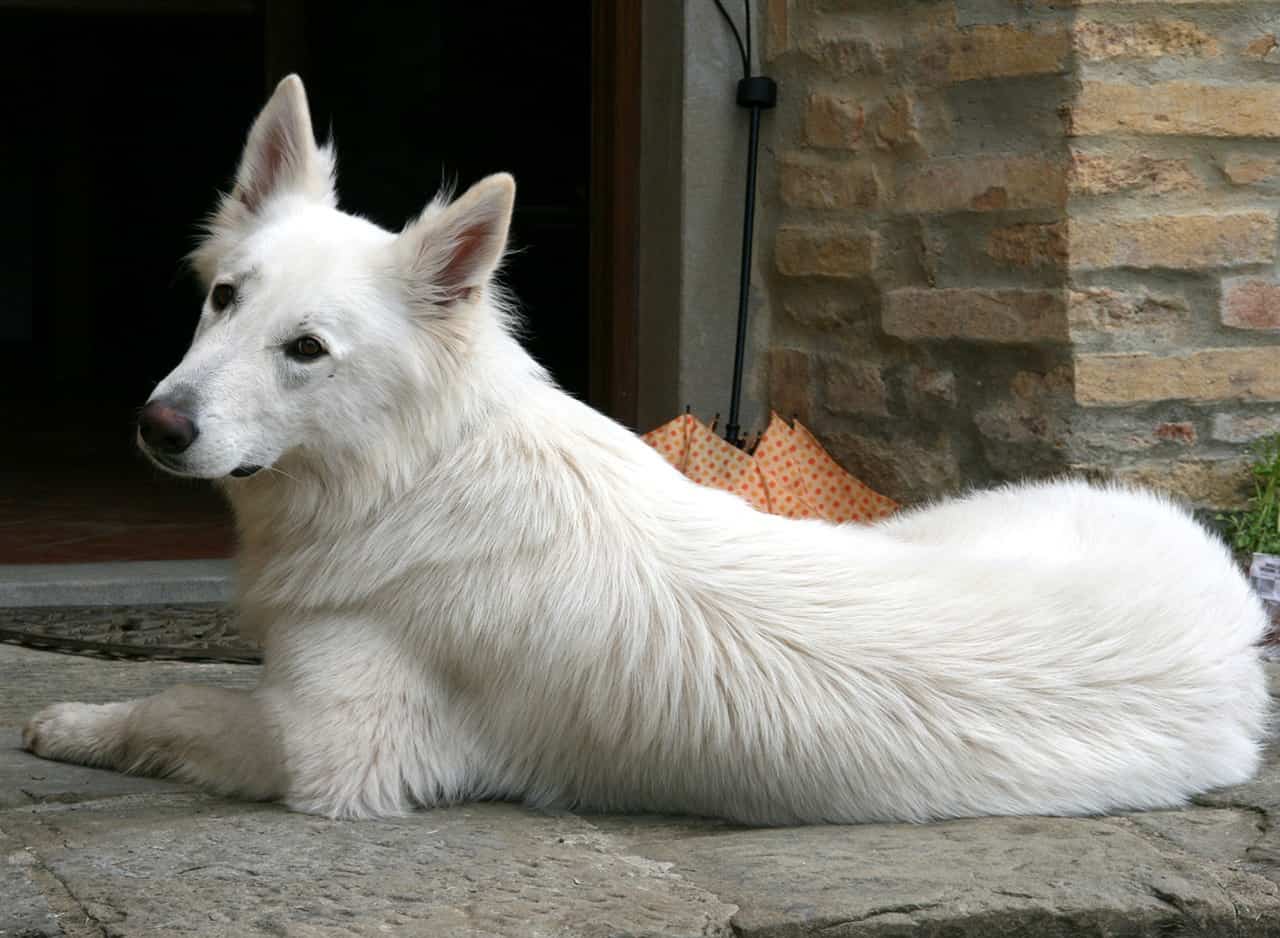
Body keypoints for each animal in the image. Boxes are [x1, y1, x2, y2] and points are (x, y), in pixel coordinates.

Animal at [24, 76, 1264, 818]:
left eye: (307, 350)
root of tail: (1234, 607)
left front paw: (75, 721)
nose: (158, 424)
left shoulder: (336, 751)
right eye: (223, 298)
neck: (409, 470)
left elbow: (176, 703)